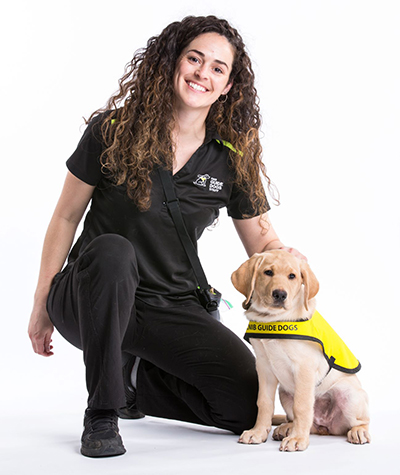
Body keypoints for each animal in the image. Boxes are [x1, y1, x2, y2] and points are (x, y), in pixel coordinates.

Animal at [233, 251, 370, 452]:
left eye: (292, 276)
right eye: (268, 272)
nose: (280, 294)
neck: (273, 320)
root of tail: (327, 427)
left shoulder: (304, 367)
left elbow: (302, 406)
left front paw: (298, 439)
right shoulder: (264, 367)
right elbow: (264, 402)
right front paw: (257, 432)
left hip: (349, 395)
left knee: (360, 421)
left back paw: (358, 431)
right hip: (284, 392)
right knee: (305, 422)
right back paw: (286, 428)